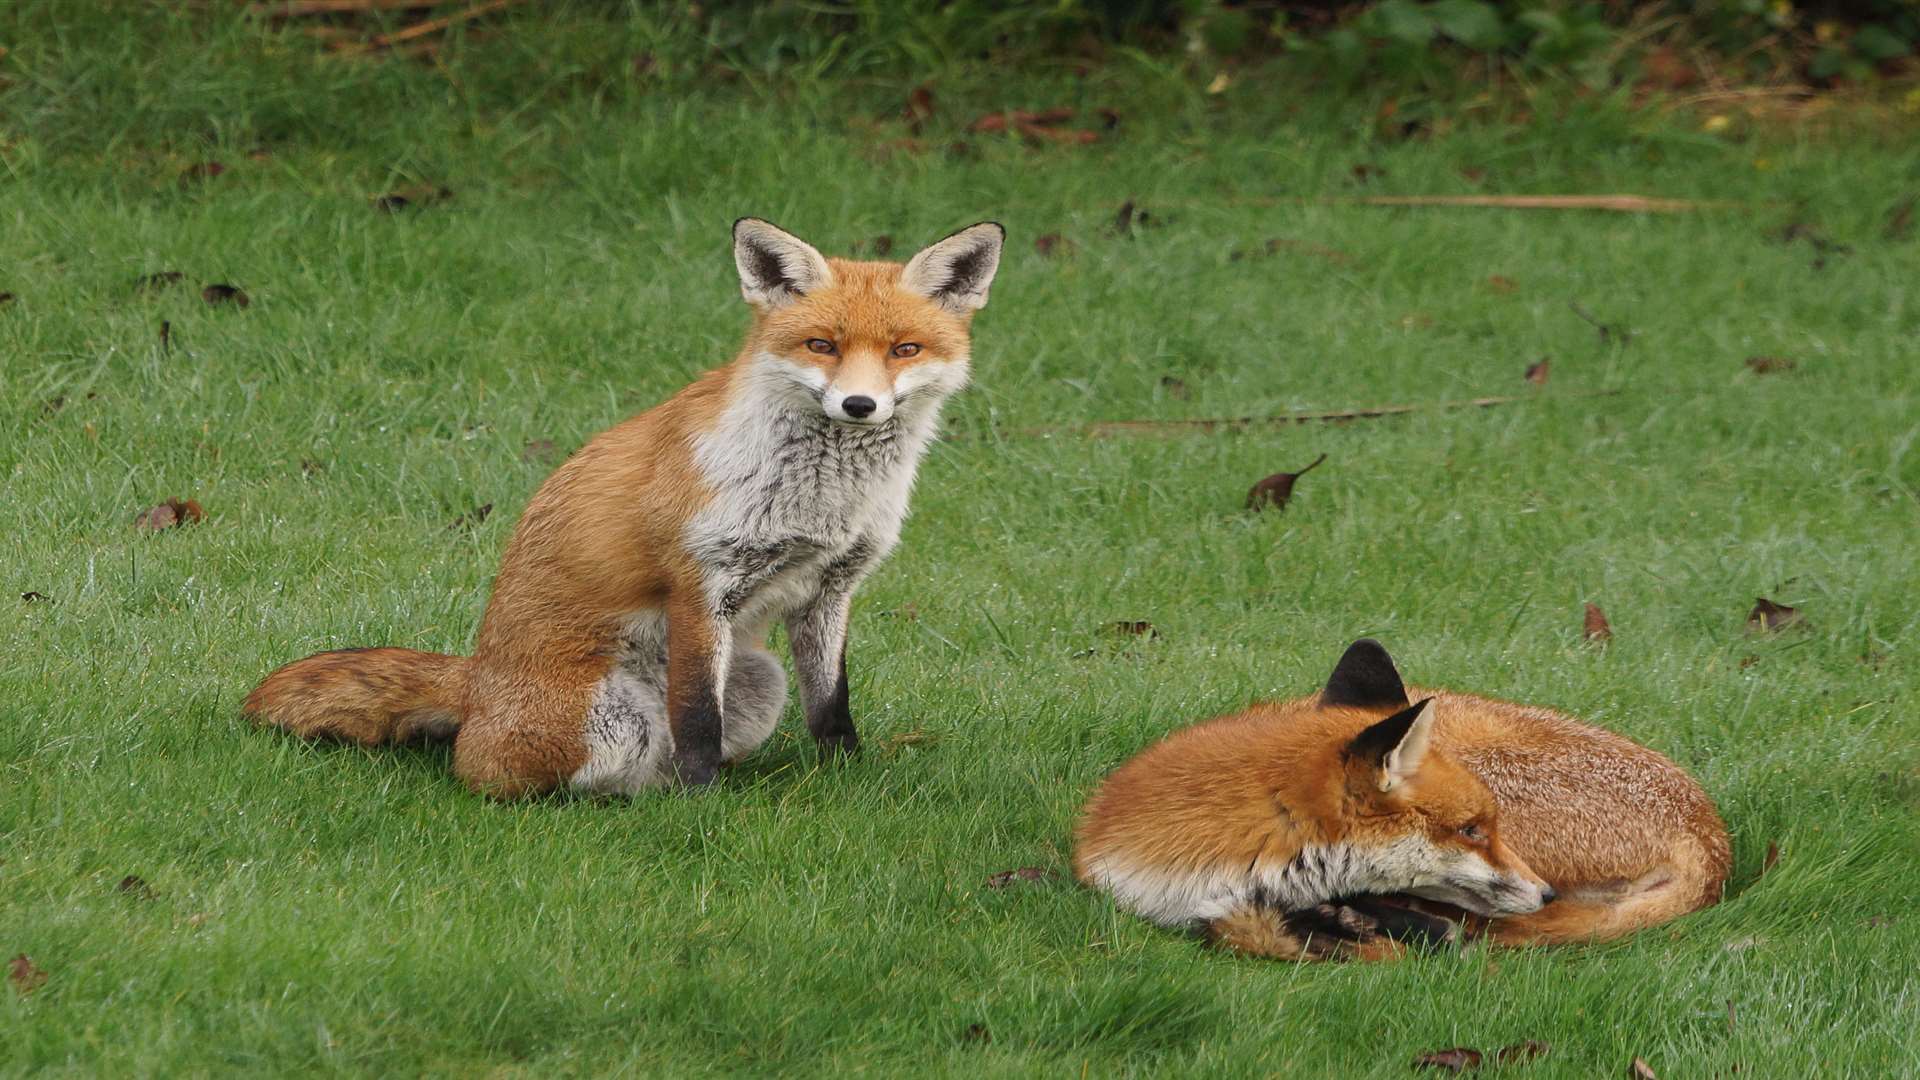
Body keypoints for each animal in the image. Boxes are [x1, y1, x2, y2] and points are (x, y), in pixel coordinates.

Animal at [240, 219, 1006, 795]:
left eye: (905, 349)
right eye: (822, 345)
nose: (859, 404)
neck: (822, 498)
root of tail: (474, 682)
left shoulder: (829, 588)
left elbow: (832, 707)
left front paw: (846, 779)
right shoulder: (700, 584)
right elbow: (696, 719)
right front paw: (704, 804)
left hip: (758, 679)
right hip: (604, 721)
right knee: (503, 775)